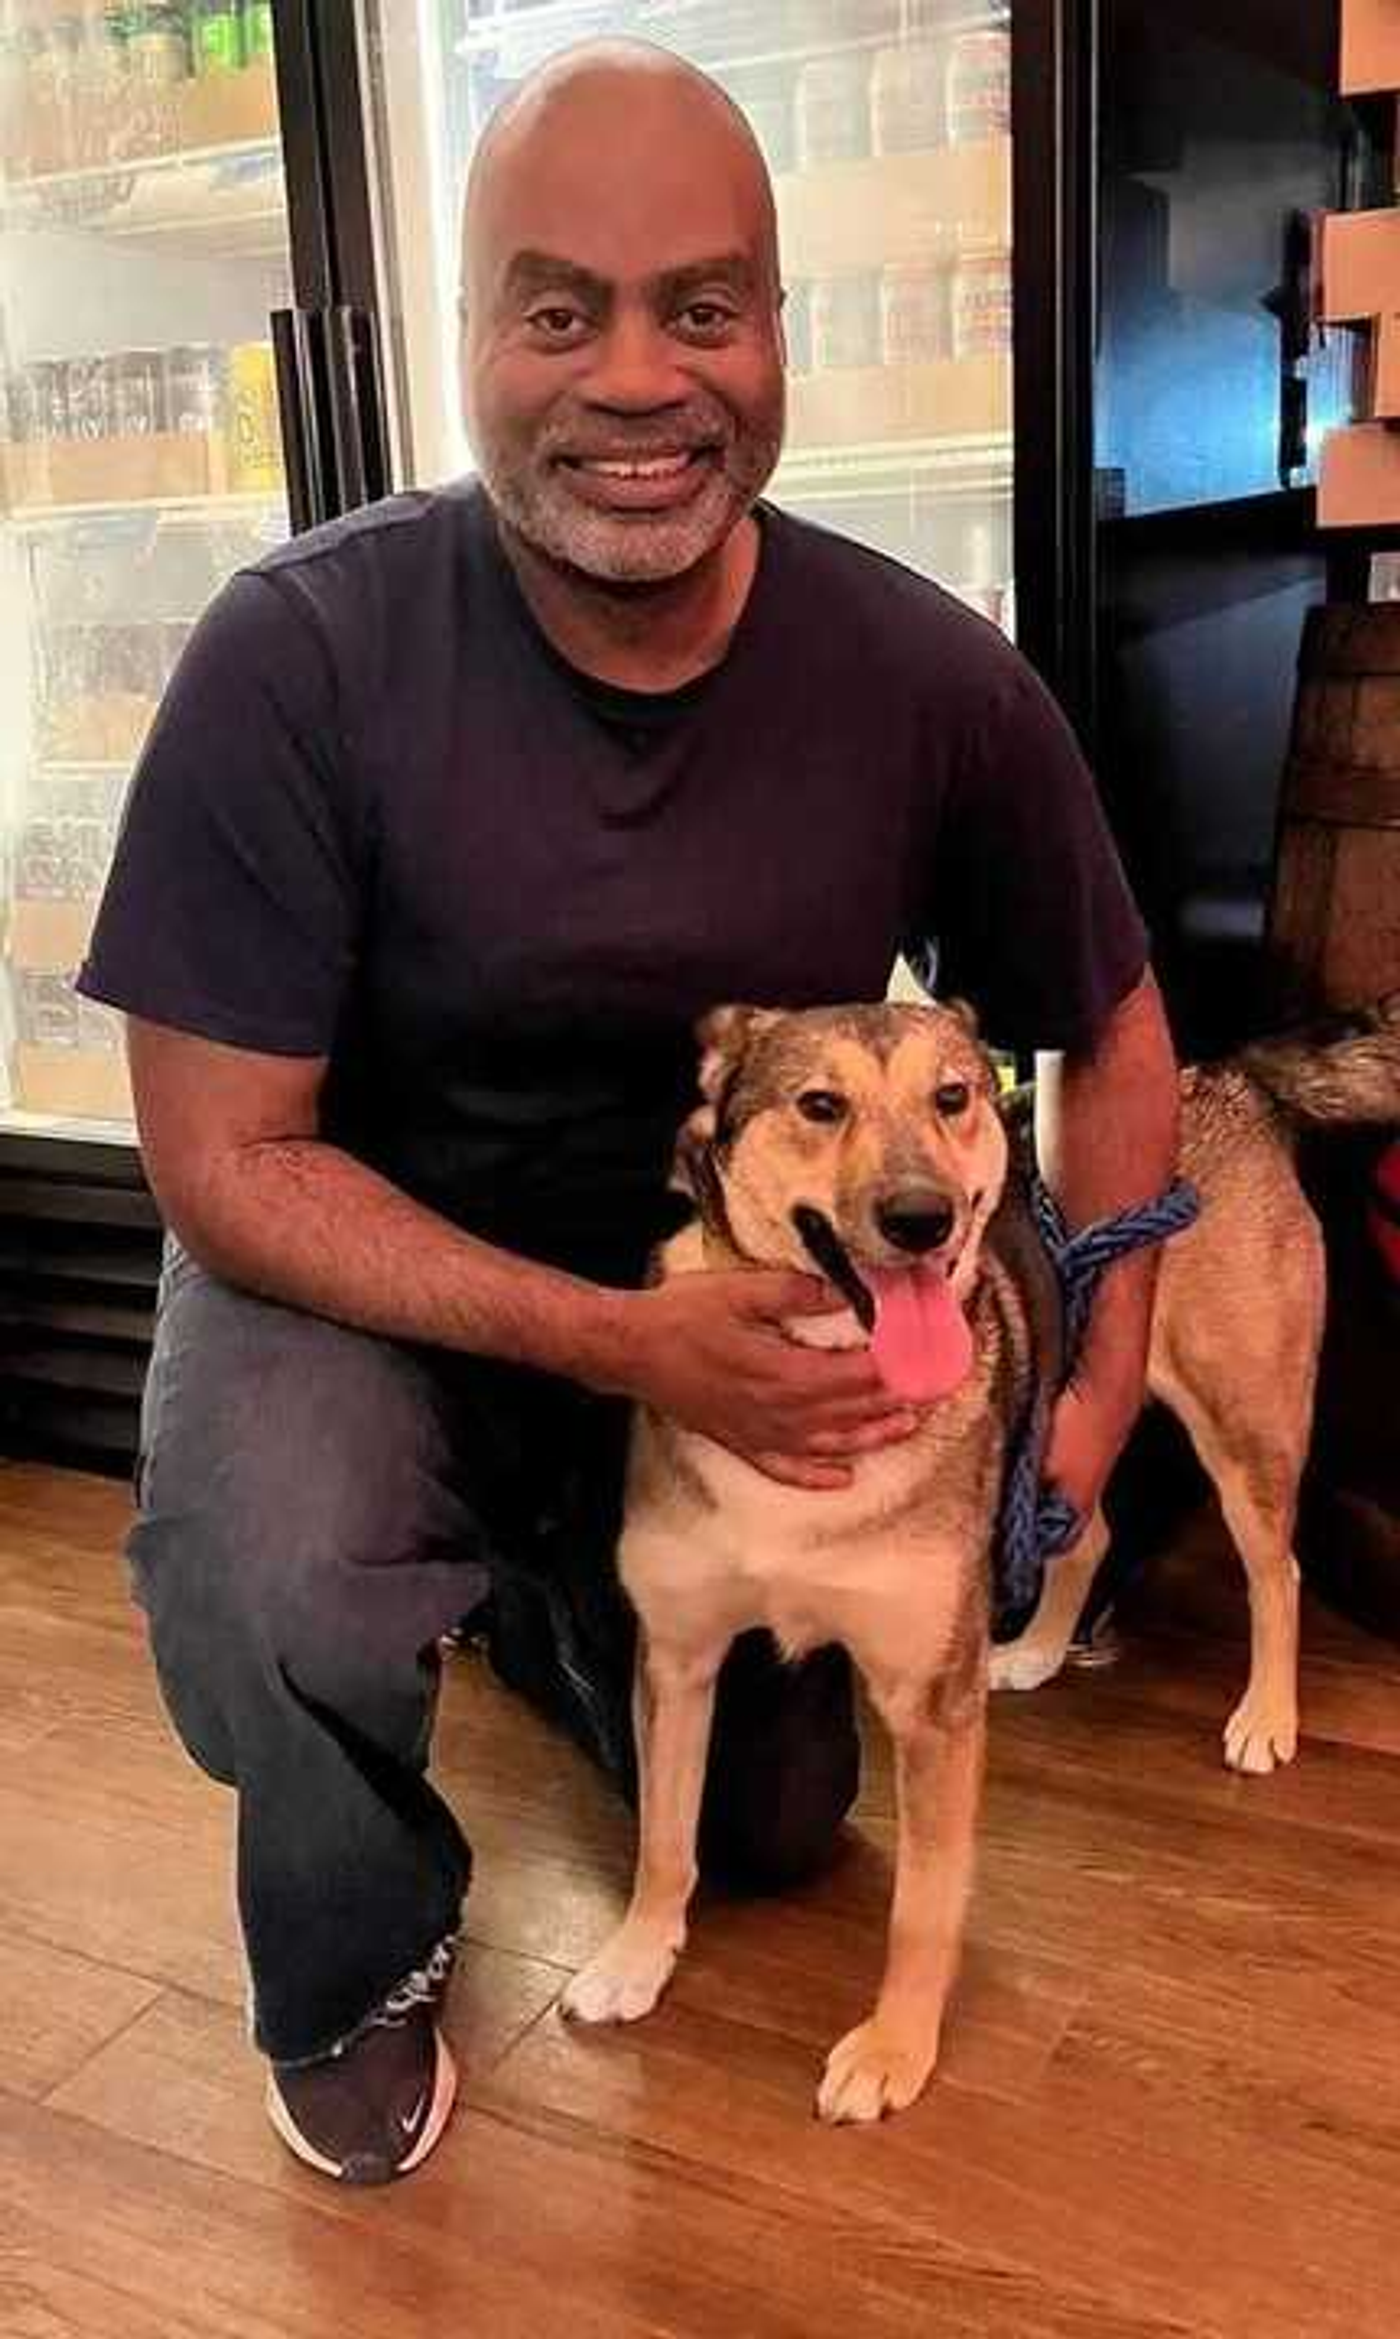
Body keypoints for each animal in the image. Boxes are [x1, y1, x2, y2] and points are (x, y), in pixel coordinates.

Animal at [560, 996, 1400, 2133]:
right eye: (818, 1105)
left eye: (951, 1095)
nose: (922, 1219)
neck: (833, 1358)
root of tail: (1228, 1074)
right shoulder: (677, 1657)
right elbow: (663, 1833)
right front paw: (636, 1954)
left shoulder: (930, 1709)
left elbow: (920, 1907)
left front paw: (893, 2050)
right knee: (1089, 1531)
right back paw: (1039, 1649)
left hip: (1242, 1420)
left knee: (1278, 1570)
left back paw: (1265, 1714)